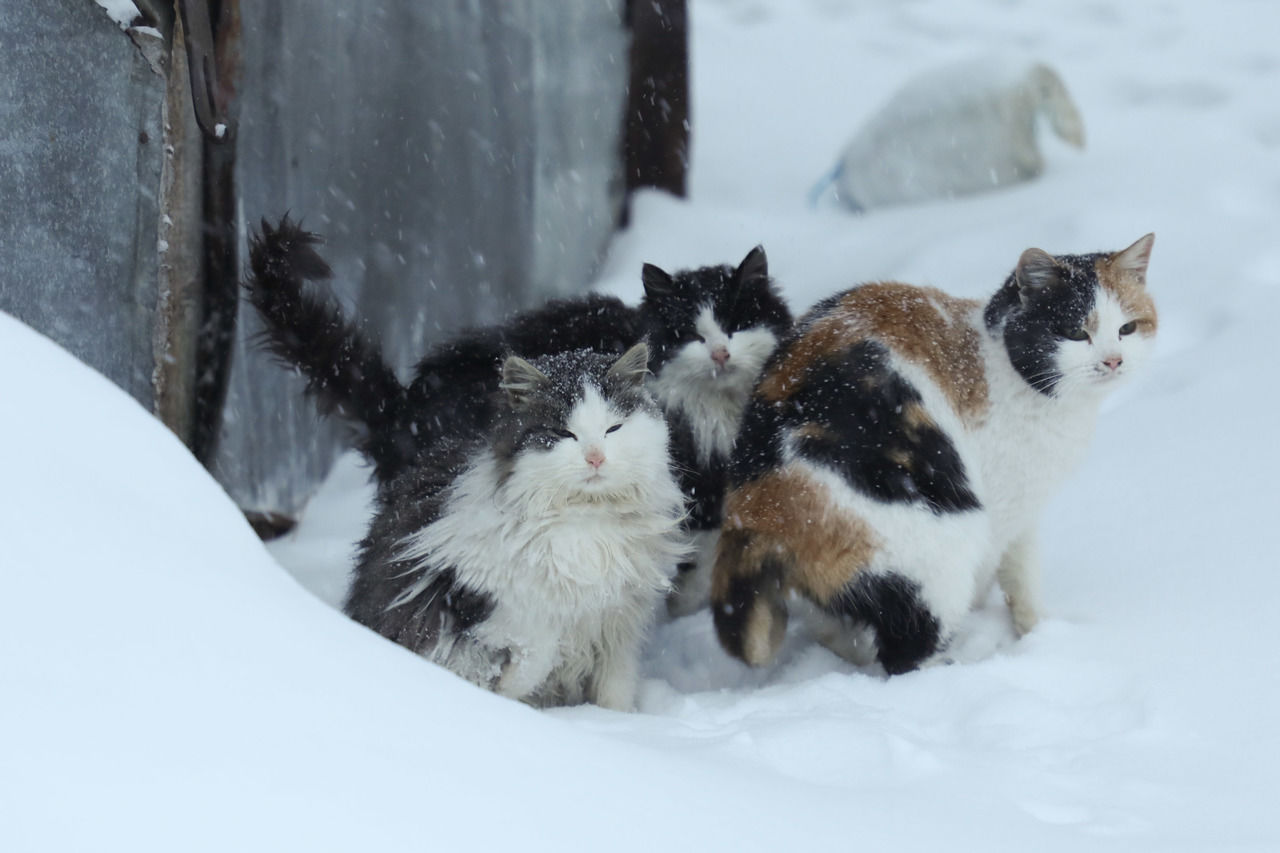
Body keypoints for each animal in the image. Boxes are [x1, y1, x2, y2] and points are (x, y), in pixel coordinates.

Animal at [343, 343, 691, 706]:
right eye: (563, 433)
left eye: (613, 429)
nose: (596, 458)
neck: (588, 524)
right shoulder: (476, 596)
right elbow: (534, 649)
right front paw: (510, 691)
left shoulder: (619, 622)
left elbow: (615, 690)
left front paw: (614, 718)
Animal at [711, 230, 1162, 671]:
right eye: (1075, 332)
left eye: (1127, 329)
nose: (1113, 361)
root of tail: (750, 514)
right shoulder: (1007, 507)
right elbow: (1017, 574)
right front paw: (1038, 642)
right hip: (936, 547)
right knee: (906, 656)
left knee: (832, 628)